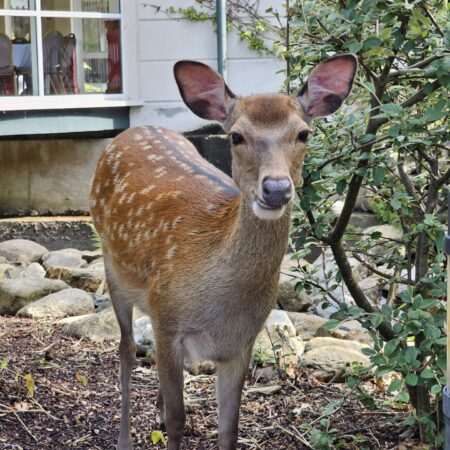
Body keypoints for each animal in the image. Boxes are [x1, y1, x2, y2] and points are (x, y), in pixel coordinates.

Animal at [90, 53, 358, 450]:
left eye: (303, 133)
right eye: (236, 136)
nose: (276, 189)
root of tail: (130, 132)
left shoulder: (240, 343)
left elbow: (229, 427)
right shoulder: (169, 322)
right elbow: (178, 419)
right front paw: (166, 422)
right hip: (113, 268)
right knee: (125, 350)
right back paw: (124, 439)